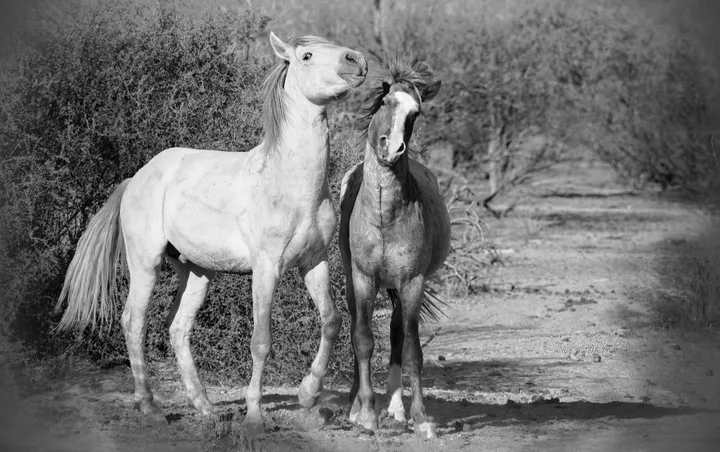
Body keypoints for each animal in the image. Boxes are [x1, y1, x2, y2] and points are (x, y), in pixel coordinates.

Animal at [54, 32, 368, 433]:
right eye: (307, 55)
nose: (356, 61)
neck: (292, 185)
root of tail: (136, 178)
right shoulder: (266, 269)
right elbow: (261, 341)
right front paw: (254, 415)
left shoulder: (313, 263)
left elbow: (331, 321)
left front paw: (308, 394)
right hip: (146, 264)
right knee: (133, 322)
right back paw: (150, 406)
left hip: (197, 272)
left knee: (178, 328)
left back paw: (204, 407)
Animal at [338, 58, 449, 439]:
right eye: (385, 103)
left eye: (415, 113)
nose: (392, 149)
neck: (385, 216)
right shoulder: (362, 278)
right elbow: (362, 338)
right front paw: (365, 413)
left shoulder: (413, 281)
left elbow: (412, 347)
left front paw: (421, 418)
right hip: (354, 281)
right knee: (359, 328)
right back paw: (357, 404)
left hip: (400, 288)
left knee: (398, 333)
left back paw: (398, 408)